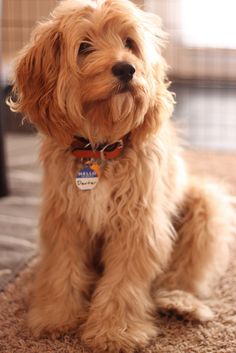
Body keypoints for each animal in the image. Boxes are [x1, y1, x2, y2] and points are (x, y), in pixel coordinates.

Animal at [8, 0, 235, 352]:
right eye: (84, 46)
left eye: (130, 43)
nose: (127, 69)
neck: (101, 148)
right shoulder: (65, 221)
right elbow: (62, 270)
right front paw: (55, 316)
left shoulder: (137, 226)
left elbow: (122, 283)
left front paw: (115, 331)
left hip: (204, 203)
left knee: (183, 275)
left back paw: (180, 302)